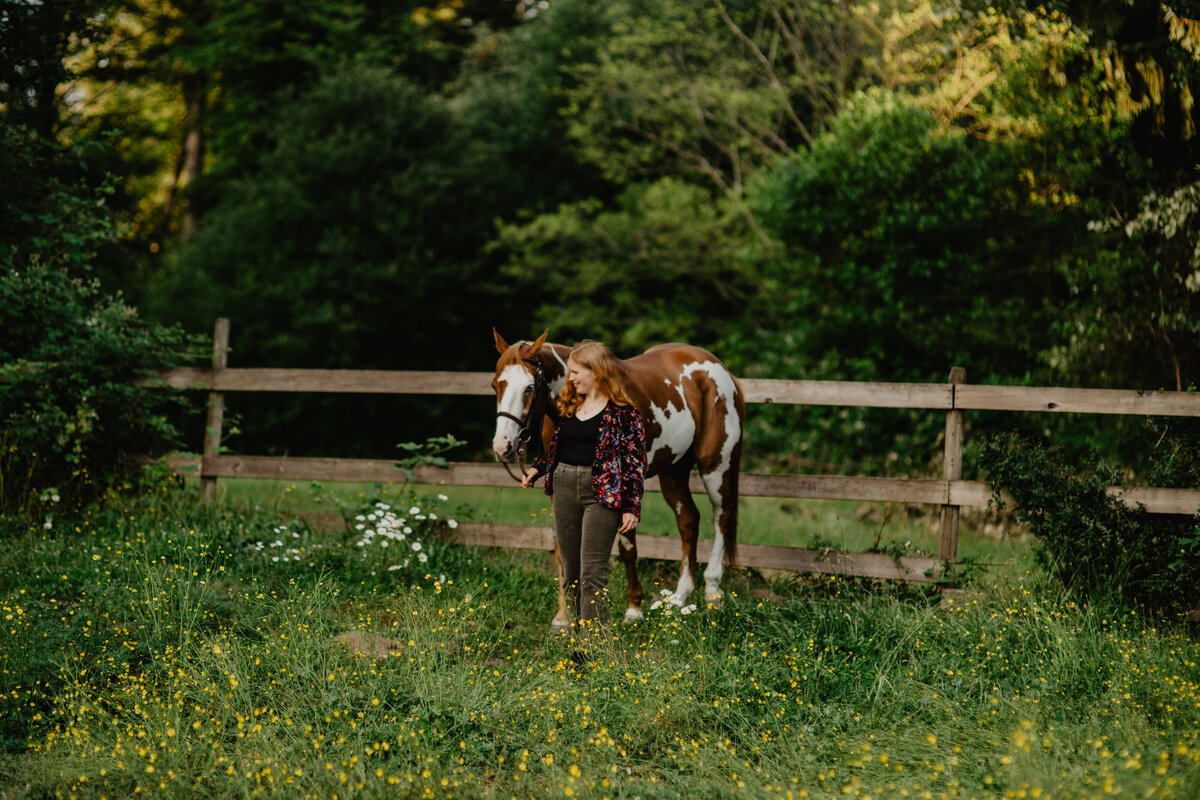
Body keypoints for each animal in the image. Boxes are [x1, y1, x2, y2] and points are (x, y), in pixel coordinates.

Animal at [489, 328, 739, 628]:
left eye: (529, 387)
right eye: (495, 385)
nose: (503, 447)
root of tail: (721, 370)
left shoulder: (626, 484)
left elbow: (627, 545)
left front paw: (633, 609)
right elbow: (563, 551)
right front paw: (563, 618)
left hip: (716, 465)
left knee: (721, 517)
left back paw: (713, 594)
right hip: (674, 471)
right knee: (689, 521)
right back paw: (679, 599)